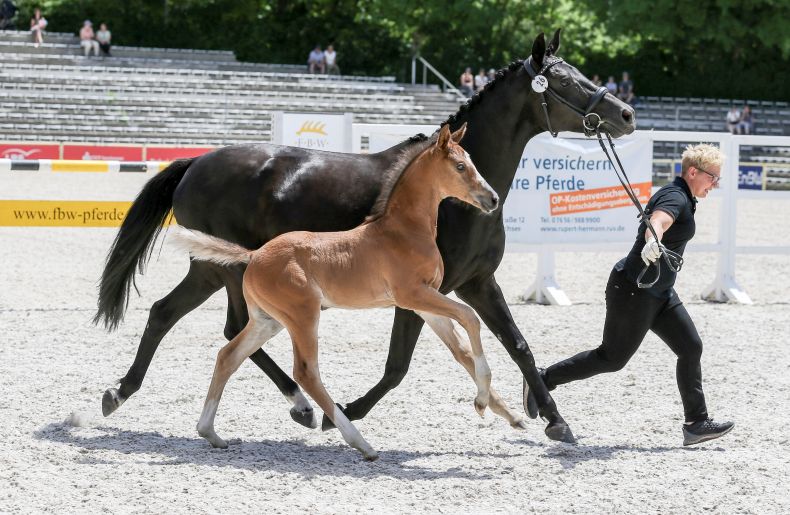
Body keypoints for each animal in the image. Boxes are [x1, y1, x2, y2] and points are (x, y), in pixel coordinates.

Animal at [178, 124, 502, 460]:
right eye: (460, 166)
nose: (492, 199)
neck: (404, 231)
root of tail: (254, 255)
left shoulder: (424, 303)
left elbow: (462, 347)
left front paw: (502, 410)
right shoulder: (412, 295)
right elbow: (470, 317)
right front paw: (481, 402)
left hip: (268, 320)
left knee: (228, 356)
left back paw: (210, 432)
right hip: (303, 316)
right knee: (306, 372)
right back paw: (360, 442)